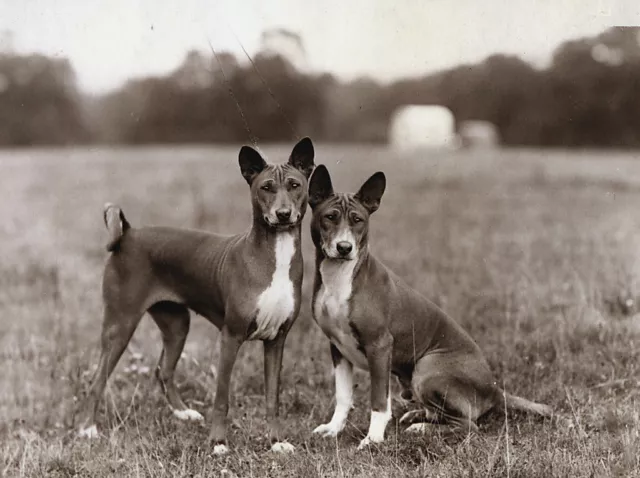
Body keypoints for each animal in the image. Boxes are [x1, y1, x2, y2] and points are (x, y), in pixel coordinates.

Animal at [76, 136, 316, 454]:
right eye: (266, 187)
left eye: (294, 185)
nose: (283, 214)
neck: (274, 255)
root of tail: (128, 234)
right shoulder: (230, 337)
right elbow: (222, 399)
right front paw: (218, 442)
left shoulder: (277, 341)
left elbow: (272, 398)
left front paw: (276, 441)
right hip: (120, 325)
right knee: (98, 378)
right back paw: (88, 428)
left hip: (177, 325)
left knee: (162, 370)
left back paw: (182, 413)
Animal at [308, 164, 552, 448]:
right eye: (330, 217)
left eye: (358, 220)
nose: (344, 247)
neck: (340, 276)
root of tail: (494, 389)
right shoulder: (337, 346)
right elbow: (343, 396)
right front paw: (333, 429)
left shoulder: (379, 346)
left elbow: (378, 401)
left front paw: (373, 438)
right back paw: (417, 416)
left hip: (427, 369)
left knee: (468, 425)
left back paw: (421, 428)